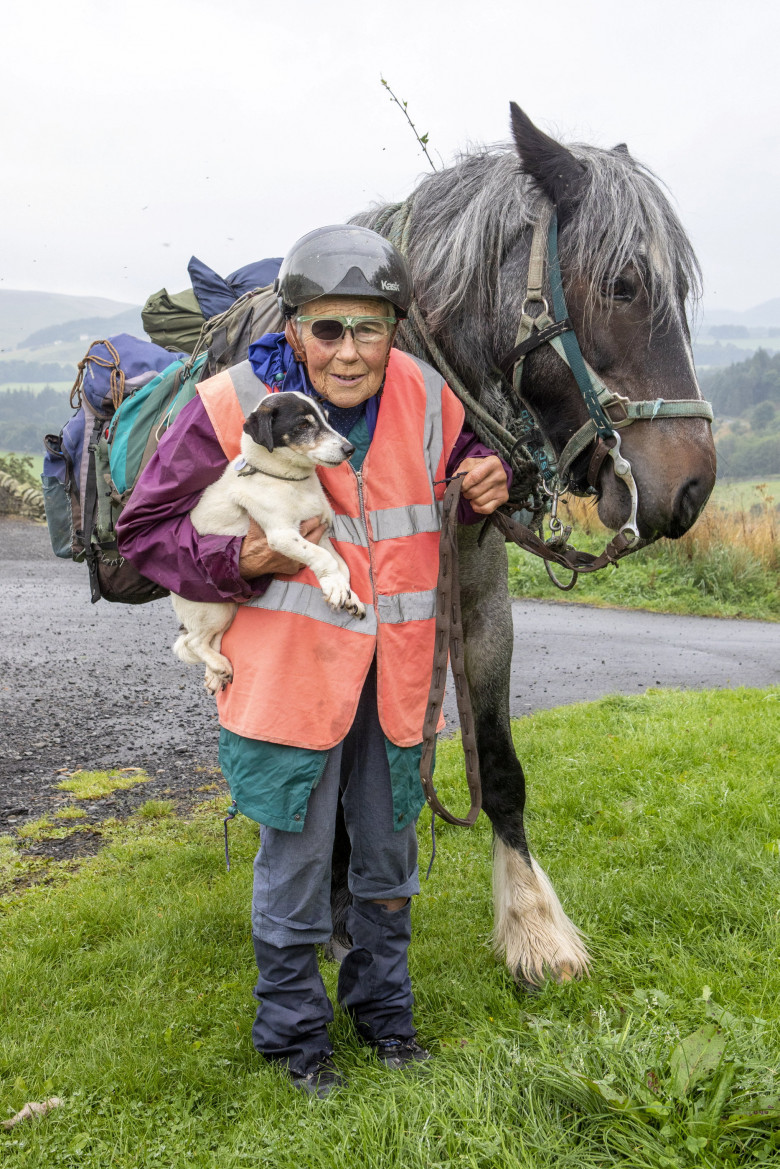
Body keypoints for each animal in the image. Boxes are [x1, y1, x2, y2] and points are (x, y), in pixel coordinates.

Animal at [171, 388, 364, 687]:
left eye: (327, 418)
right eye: (303, 425)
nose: (349, 449)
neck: (289, 481)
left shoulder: (320, 534)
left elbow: (341, 565)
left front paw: (347, 593)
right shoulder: (282, 535)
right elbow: (323, 559)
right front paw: (335, 587)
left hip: (228, 611)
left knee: (211, 641)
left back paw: (216, 671)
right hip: (213, 610)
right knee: (192, 643)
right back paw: (218, 665)